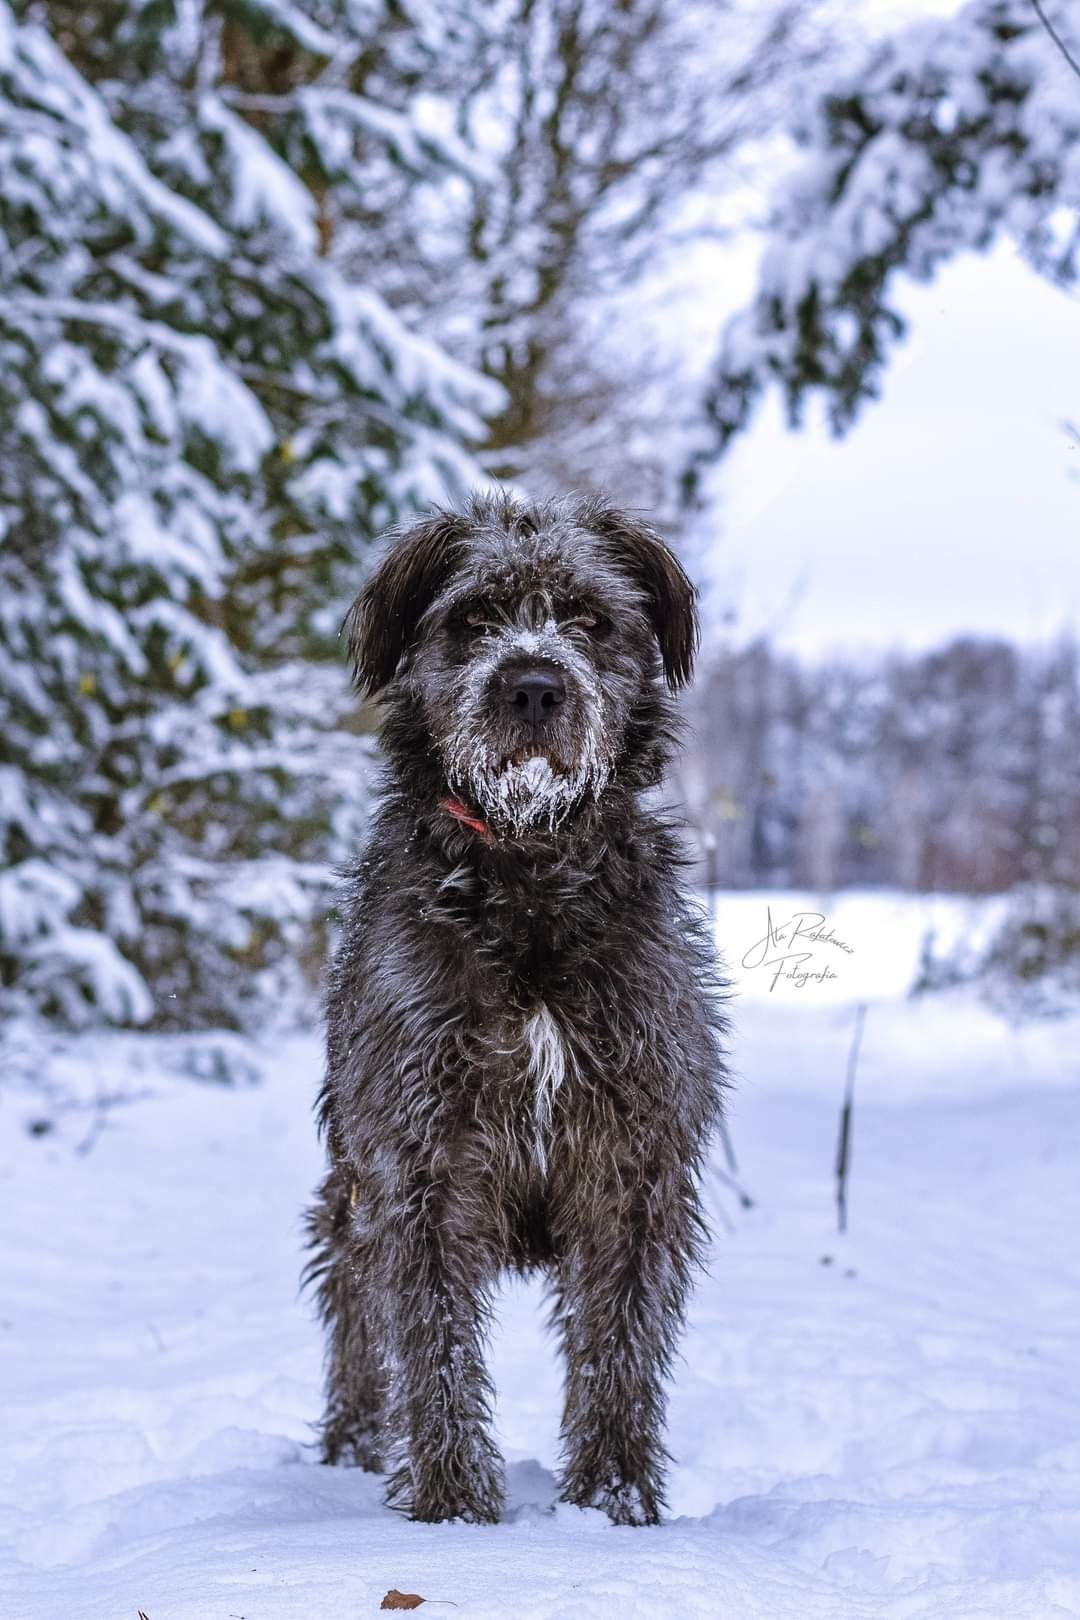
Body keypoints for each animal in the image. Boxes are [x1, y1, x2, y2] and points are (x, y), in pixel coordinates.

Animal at [306, 486, 725, 1522]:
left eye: (589, 620)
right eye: (474, 619)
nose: (533, 686)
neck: (529, 874)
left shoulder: (634, 1160)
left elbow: (618, 1346)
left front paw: (615, 1503)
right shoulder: (418, 1161)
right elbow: (434, 1345)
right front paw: (454, 1506)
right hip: (347, 1200)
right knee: (356, 1327)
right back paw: (351, 1451)